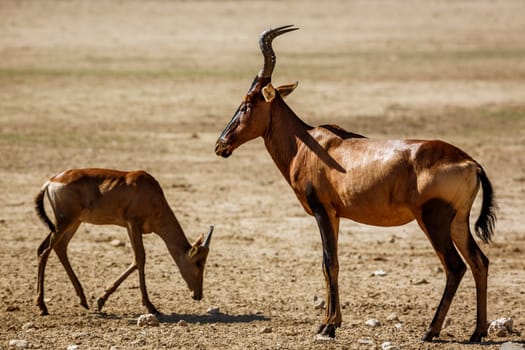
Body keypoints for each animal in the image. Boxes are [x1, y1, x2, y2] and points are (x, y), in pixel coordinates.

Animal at [34, 168, 213, 316]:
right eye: (198, 262)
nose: (198, 295)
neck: (149, 190)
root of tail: (51, 181)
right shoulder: (133, 223)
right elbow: (141, 258)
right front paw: (151, 306)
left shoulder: (129, 226)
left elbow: (135, 260)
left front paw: (101, 300)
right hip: (64, 222)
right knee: (45, 251)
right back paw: (42, 306)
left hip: (73, 222)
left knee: (58, 247)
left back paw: (83, 300)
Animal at [214, 26, 496, 344]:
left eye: (247, 103)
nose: (221, 145)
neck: (309, 143)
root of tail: (471, 163)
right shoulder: (335, 215)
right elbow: (331, 264)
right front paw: (329, 323)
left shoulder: (322, 211)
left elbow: (329, 263)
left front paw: (327, 326)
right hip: (458, 221)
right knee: (479, 262)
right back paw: (477, 332)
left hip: (433, 220)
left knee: (455, 266)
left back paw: (431, 330)